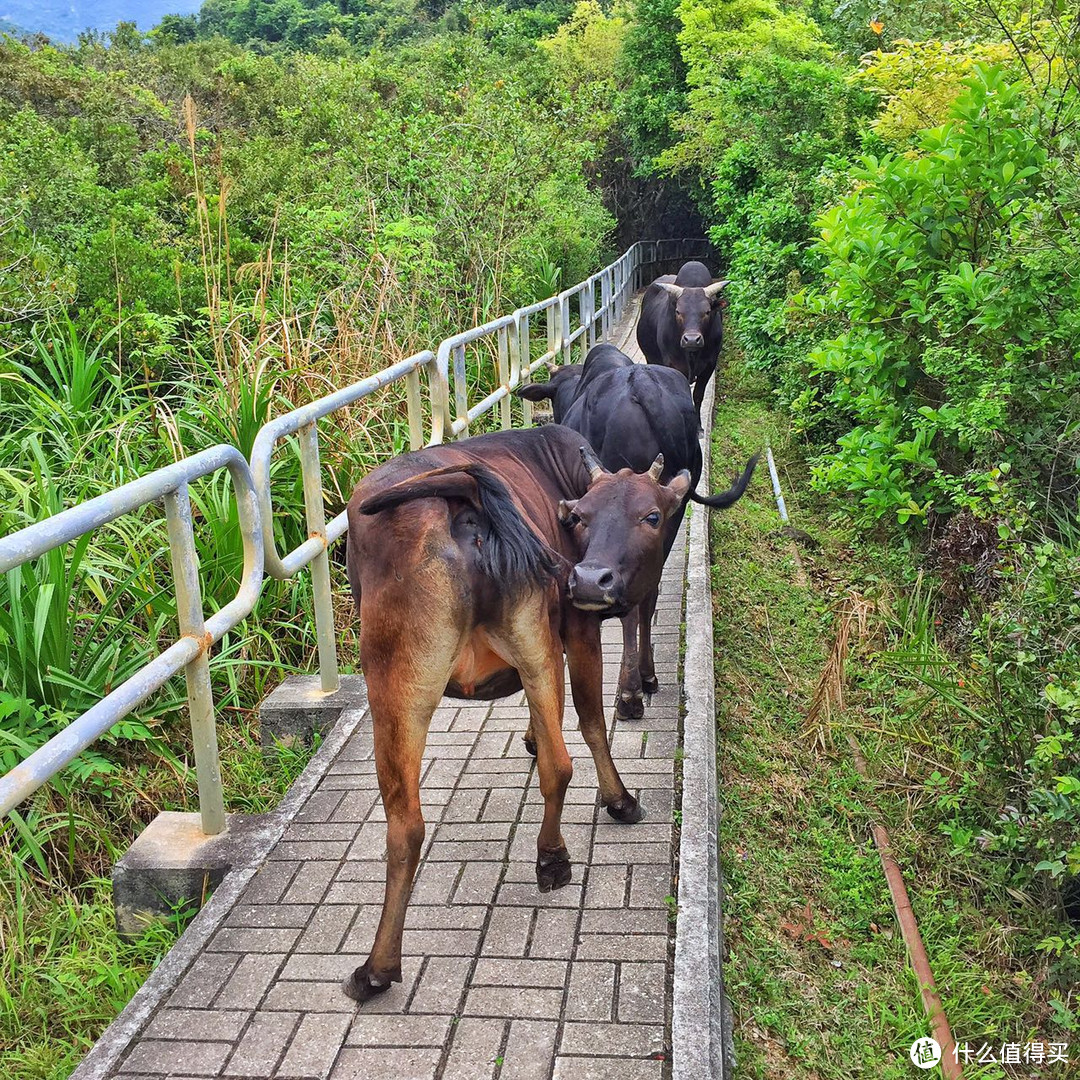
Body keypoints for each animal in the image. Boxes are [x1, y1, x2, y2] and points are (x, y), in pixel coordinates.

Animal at [343, 421, 691, 1002]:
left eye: (651, 515)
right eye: (579, 517)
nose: (590, 578)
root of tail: (464, 495)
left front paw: (533, 737)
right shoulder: (579, 624)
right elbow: (592, 722)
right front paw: (618, 798)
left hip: (403, 680)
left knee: (409, 821)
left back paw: (378, 966)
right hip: (519, 643)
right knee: (559, 761)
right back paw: (556, 855)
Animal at [516, 345, 756, 717]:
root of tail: (642, 384)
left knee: (629, 606)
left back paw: (629, 693)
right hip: (672, 514)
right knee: (648, 593)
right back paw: (647, 675)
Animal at [635, 259, 730, 423]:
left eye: (707, 312)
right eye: (678, 311)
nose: (691, 340)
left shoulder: (709, 365)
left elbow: (698, 395)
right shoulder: (673, 365)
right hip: (650, 358)